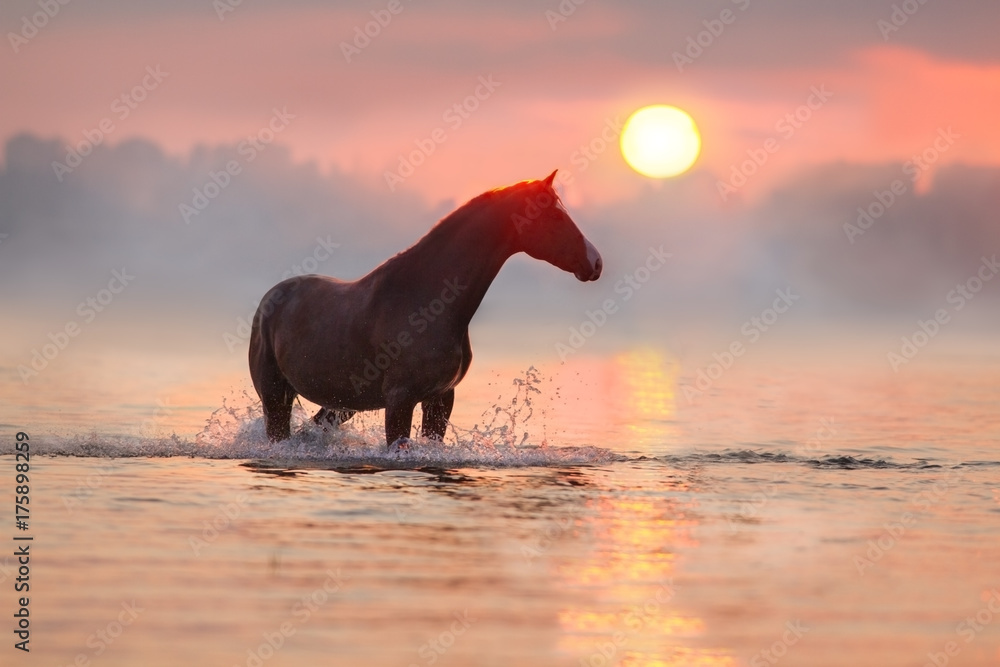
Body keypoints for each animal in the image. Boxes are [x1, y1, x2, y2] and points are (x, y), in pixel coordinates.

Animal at [248, 170, 602, 448]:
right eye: (554, 215)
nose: (595, 262)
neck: (428, 305)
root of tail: (270, 300)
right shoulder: (400, 399)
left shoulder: (440, 399)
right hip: (276, 397)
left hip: (340, 403)